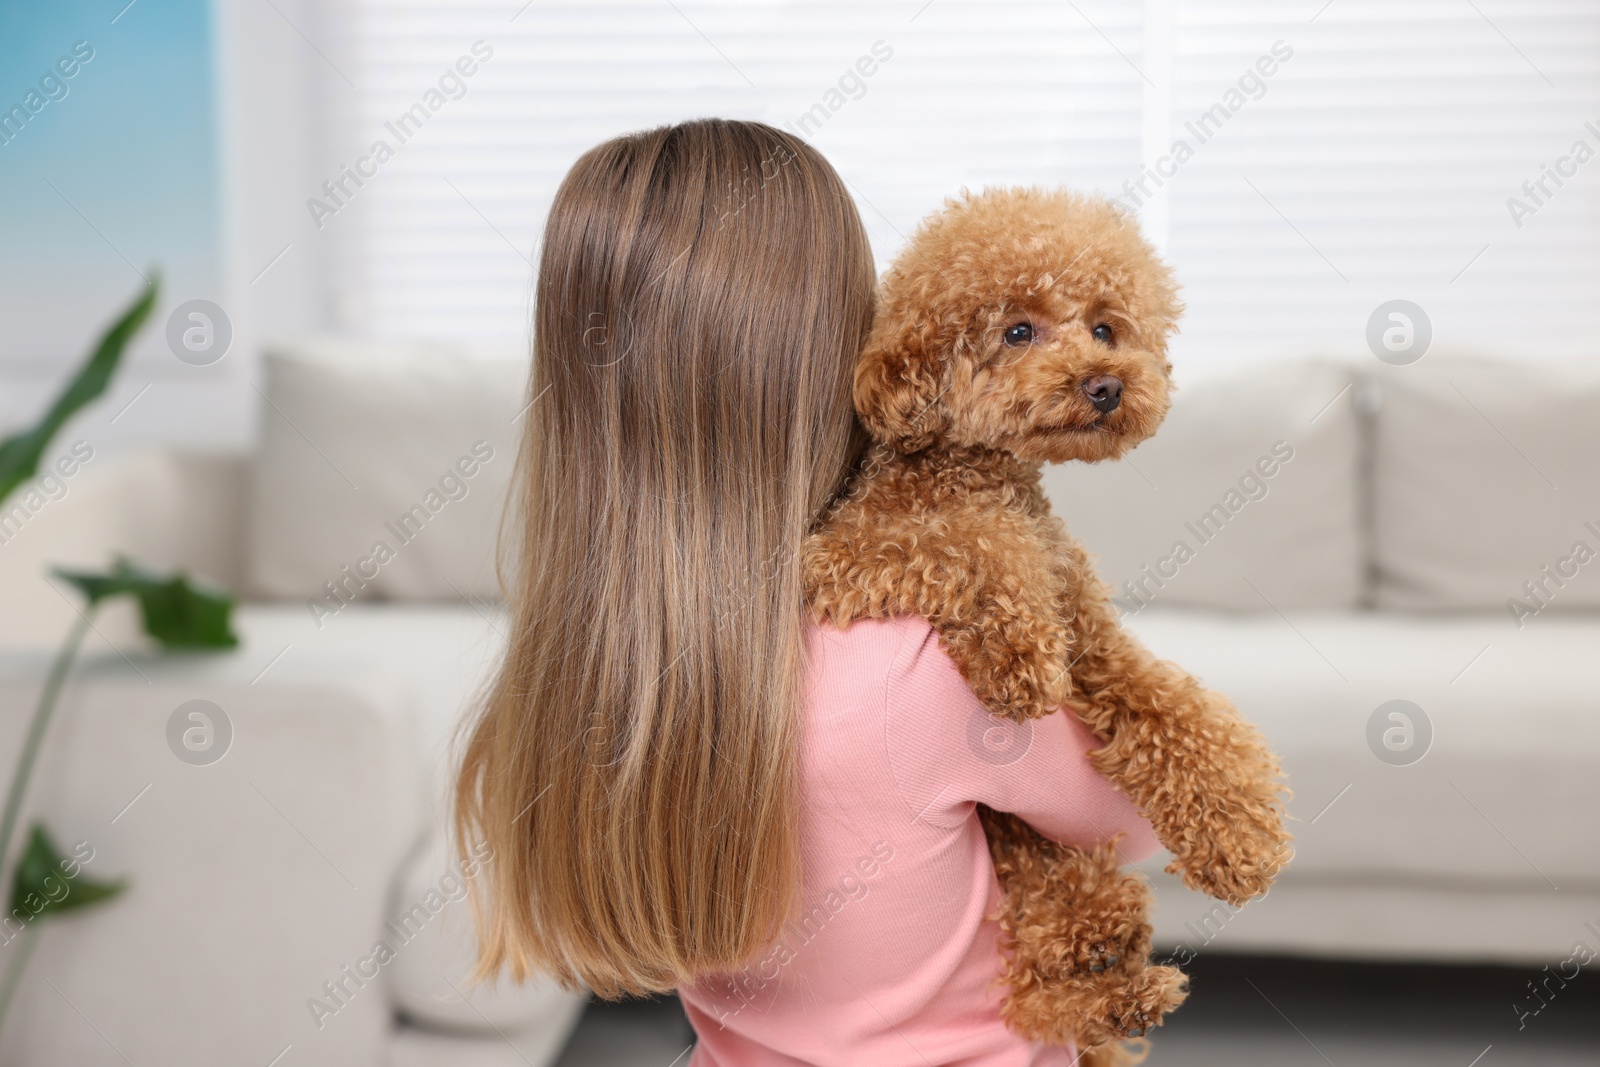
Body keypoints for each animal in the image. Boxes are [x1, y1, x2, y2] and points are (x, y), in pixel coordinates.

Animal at [806, 187, 1292, 1055]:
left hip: (1074, 881)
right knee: (1032, 995)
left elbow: (1183, 716)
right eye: (1017, 331)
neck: (980, 472)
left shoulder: (1097, 645)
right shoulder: (845, 556)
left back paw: (1125, 990)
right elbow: (968, 543)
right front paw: (1017, 657)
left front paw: (1242, 839)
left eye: (1105, 328)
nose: (1104, 385)